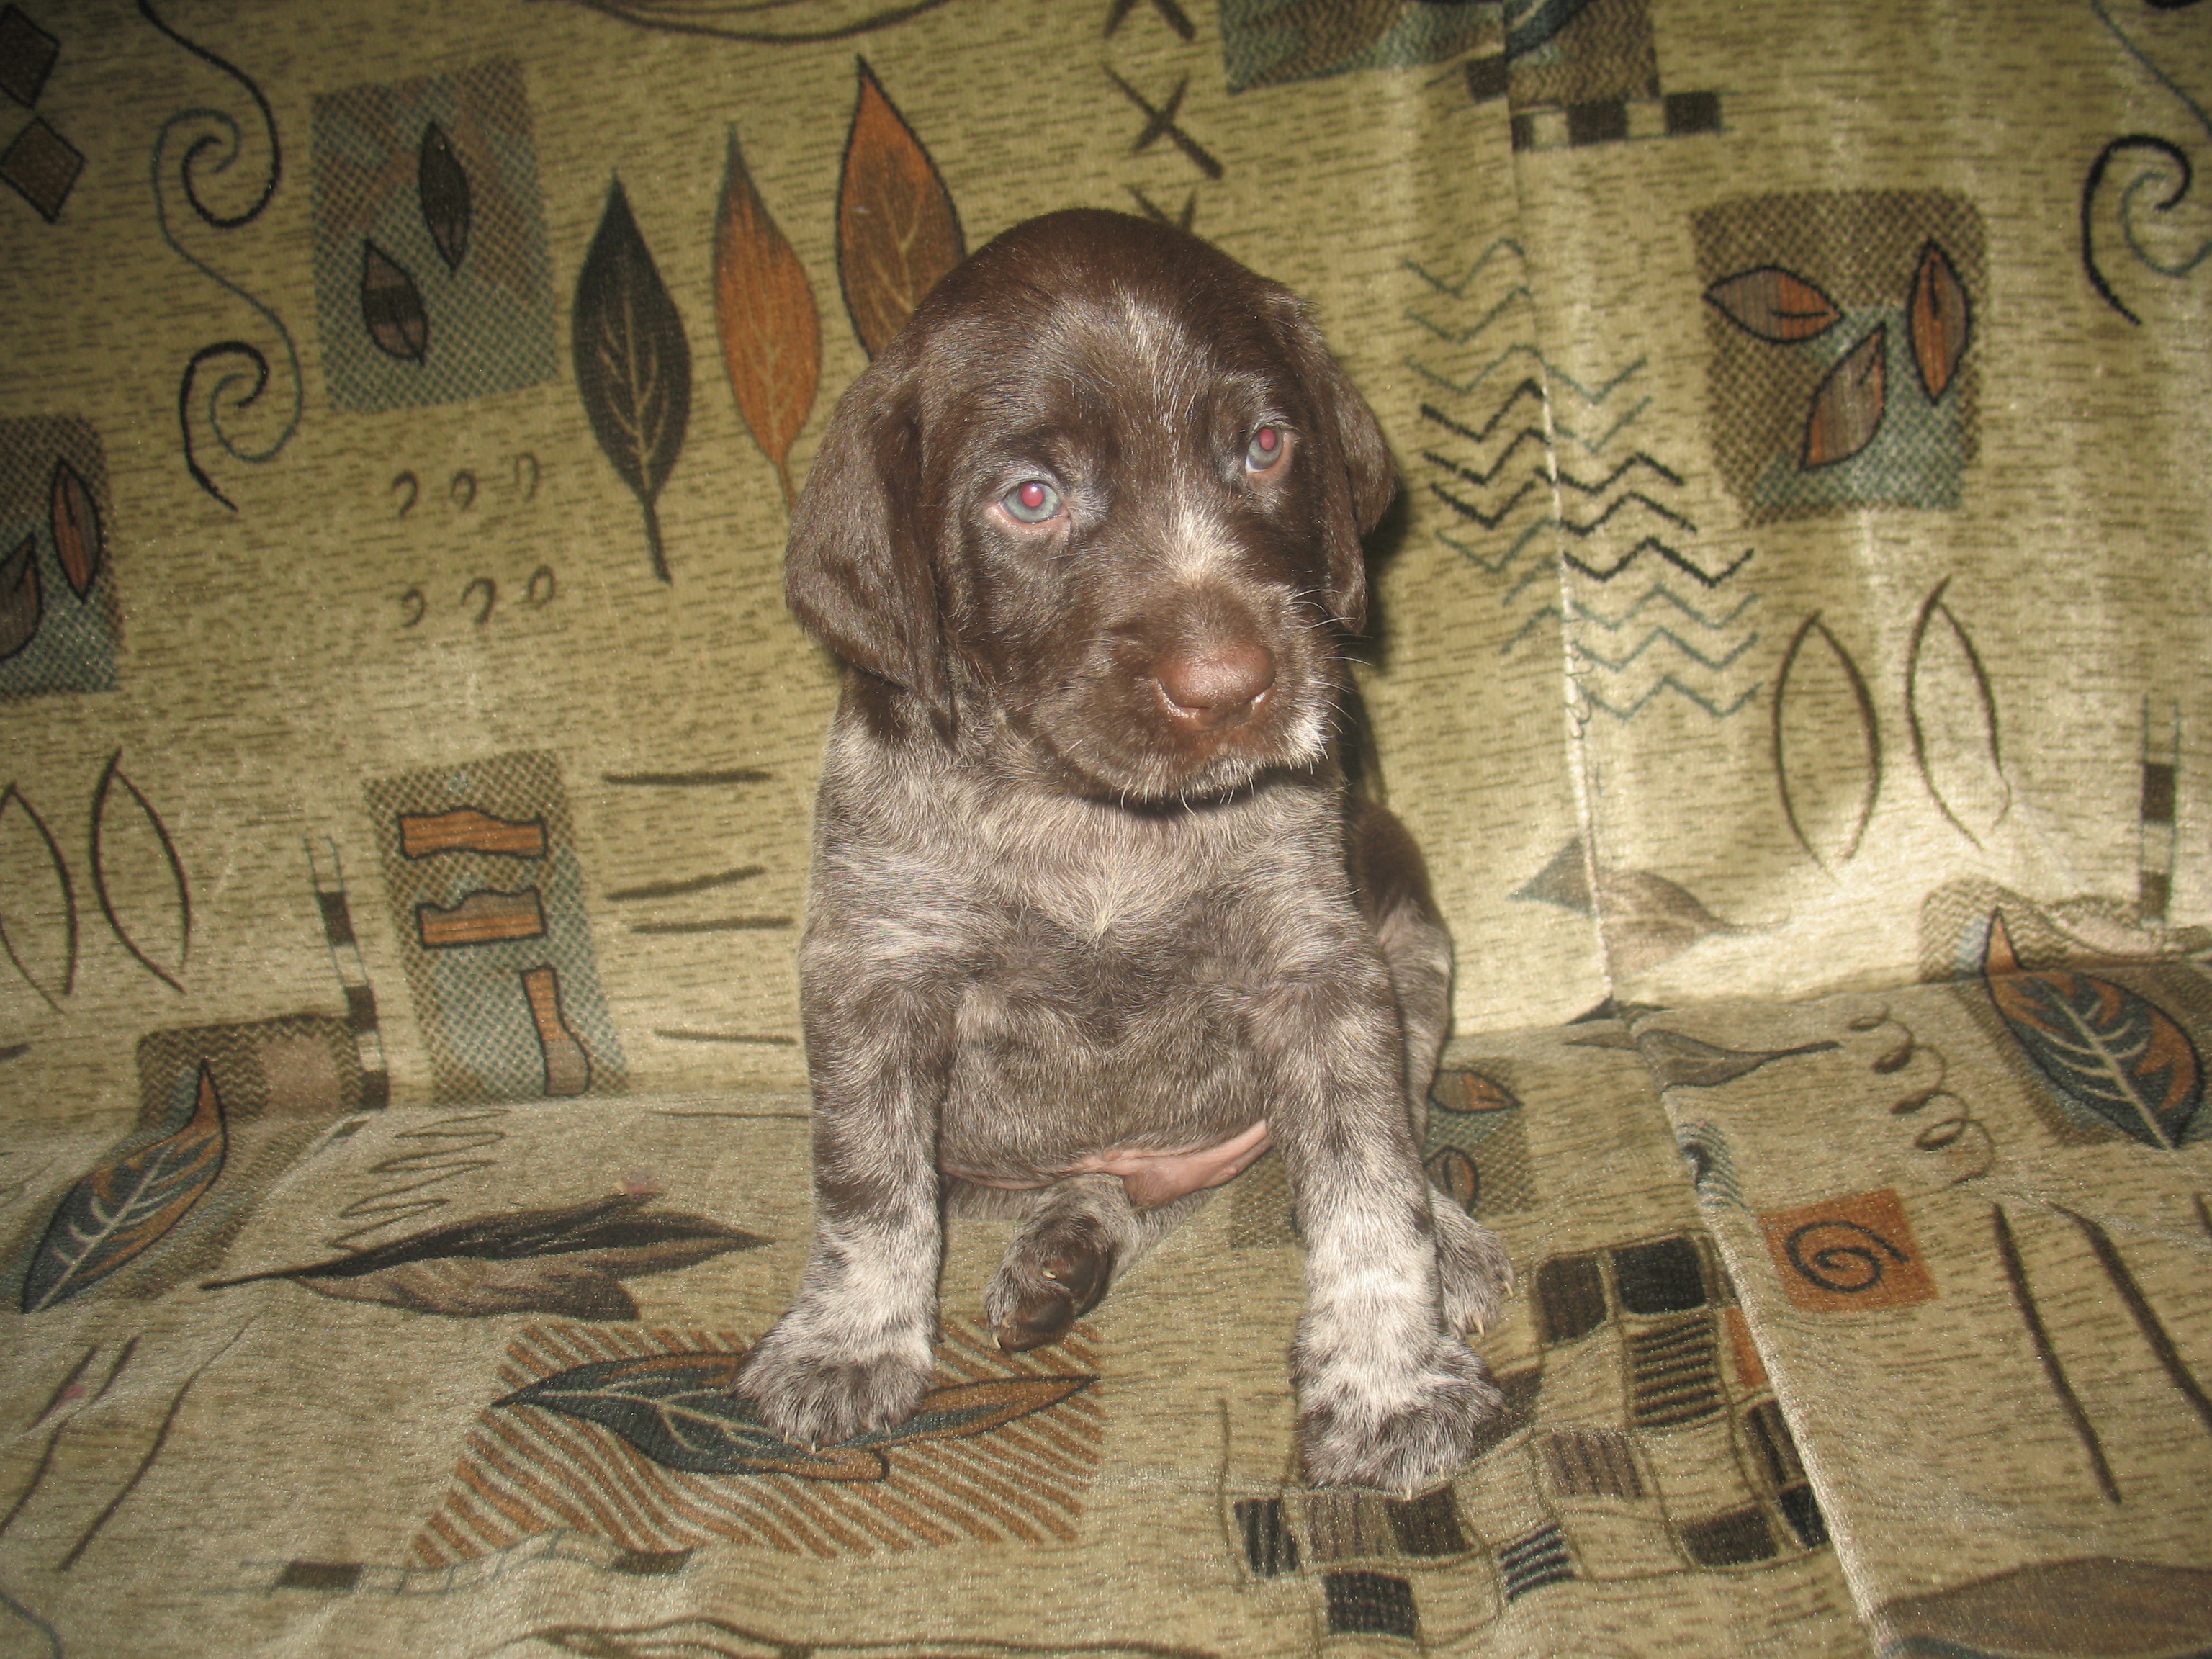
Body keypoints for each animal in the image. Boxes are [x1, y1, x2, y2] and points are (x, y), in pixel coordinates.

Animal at [734, 209, 1512, 1492]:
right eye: (1031, 496)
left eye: (1264, 445)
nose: (1234, 688)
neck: (1095, 811)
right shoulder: (875, 971)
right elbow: (868, 1189)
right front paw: (849, 1341)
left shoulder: (1320, 971)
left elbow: (1368, 1186)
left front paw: (1388, 1379)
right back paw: (1064, 1244)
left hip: (1414, 942)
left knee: (1382, 1125)